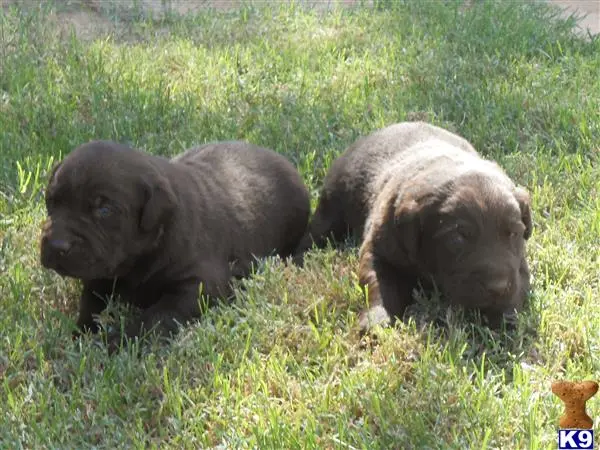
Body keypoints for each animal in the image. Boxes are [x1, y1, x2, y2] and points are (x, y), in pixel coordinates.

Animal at [39, 141, 310, 348]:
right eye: (51, 201)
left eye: (104, 210)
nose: (55, 245)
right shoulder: (100, 275)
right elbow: (91, 303)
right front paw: (81, 334)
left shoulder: (201, 284)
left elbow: (158, 315)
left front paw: (120, 340)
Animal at [292, 122, 532, 330]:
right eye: (458, 238)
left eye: (514, 234)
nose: (498, 287)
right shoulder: (379, 248)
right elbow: (379, 283)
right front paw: (376, 319)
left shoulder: (519, 267)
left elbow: (519, 283)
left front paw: (505, 315)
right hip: (333, 200)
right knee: (317, 231)